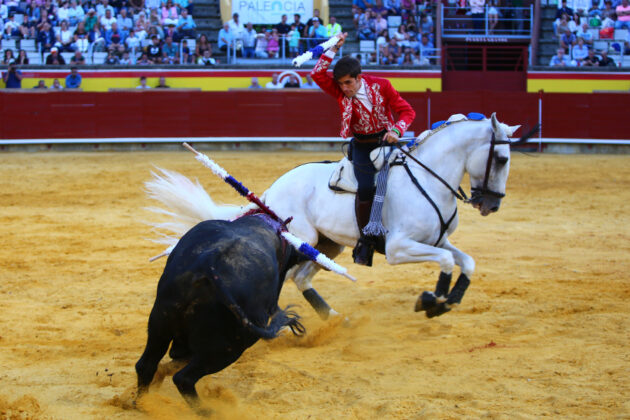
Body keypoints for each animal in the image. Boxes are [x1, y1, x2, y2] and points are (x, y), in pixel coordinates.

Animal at [136, 215, 308, 408]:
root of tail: (208, 264)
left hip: (160, 324)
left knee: (146, 365)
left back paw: (140, 403)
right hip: (230, 347)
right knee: (184, 378)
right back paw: (209, 411)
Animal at [147, 111, 528, 318]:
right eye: (502, 159)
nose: (491, 205)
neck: (430, 178)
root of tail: (274, 189)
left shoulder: (439, 240)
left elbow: (467, 262)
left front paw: (450, 300)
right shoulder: (399, 248)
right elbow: (448, 263)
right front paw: (431, 301)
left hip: (330, 245)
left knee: (301, 278)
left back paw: (333, 318)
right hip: (304, 239)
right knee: (288, 274)